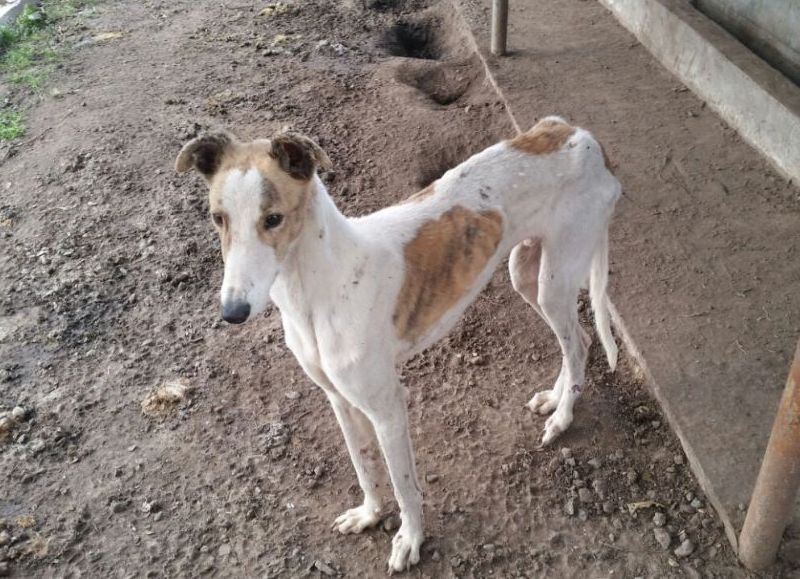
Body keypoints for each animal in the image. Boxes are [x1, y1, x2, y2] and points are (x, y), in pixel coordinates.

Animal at [175, 116, 620, 572]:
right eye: (217, 218)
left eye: (274, 218)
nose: (232, 311)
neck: (322, 287)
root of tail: (576, 133)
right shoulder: (339, 399)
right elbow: (364, 466)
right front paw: (369, 515)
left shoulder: (388, 408)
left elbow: (404, 485)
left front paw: (410, 541)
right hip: (527, 274)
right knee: (579, 339)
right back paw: (556, 398)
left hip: (554, 279)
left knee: (579, 344)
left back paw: (562, 418)